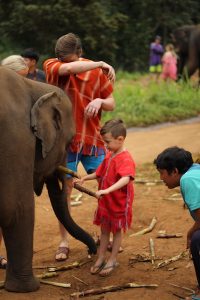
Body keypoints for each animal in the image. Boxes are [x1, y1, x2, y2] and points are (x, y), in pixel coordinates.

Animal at [0, 67, 97, 292]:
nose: (92, 251)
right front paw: (26, 288)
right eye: (69, 141)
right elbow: (17, 209)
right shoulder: (17, 137)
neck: (33, 85)